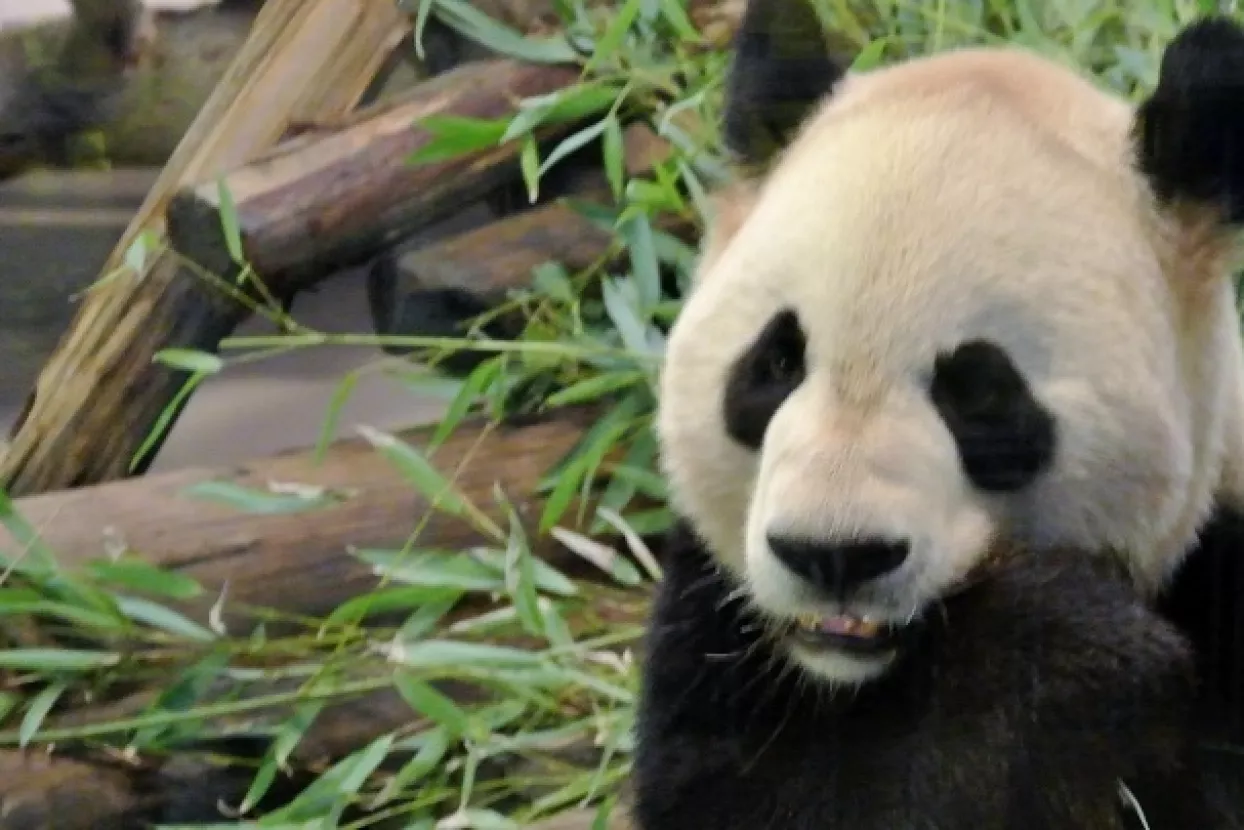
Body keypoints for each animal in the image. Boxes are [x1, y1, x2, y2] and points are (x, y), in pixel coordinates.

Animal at [634, 1, 1244, 827]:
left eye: (979, 392)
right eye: (777, 362)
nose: (834, 555)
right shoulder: (712, 634)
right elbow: (749, 792)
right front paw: (1067, 650)